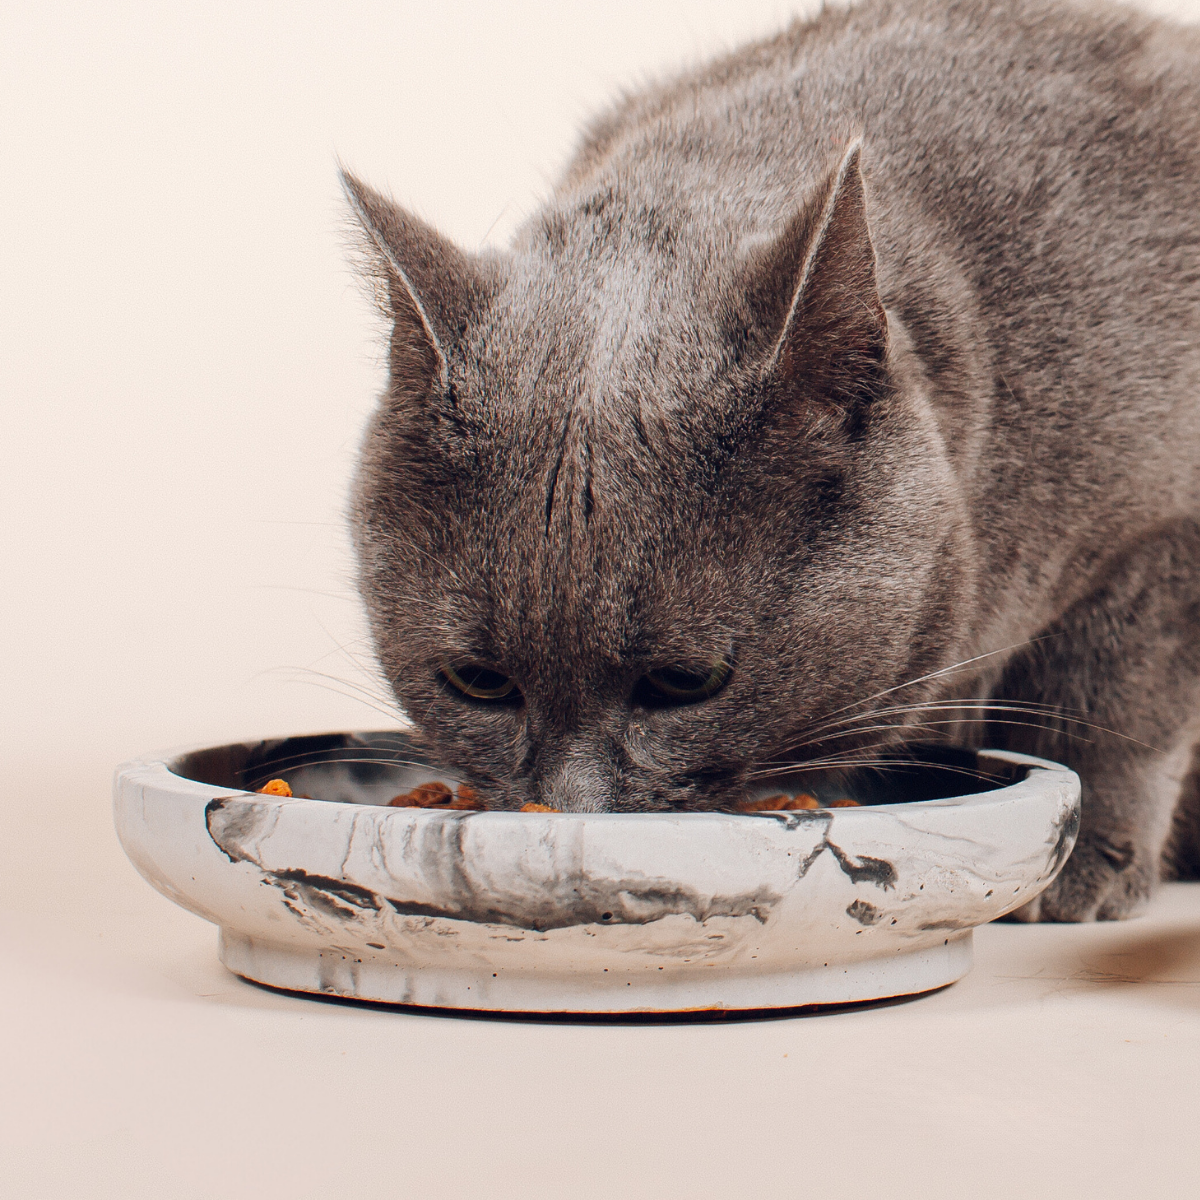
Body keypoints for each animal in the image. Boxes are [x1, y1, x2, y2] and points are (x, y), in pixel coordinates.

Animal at [340, 0, 1200, 921]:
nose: (573, 812)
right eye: (477, 681)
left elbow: (1110, 704)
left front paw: (1083, 867)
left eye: (688, 681)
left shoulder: (1159, 538)